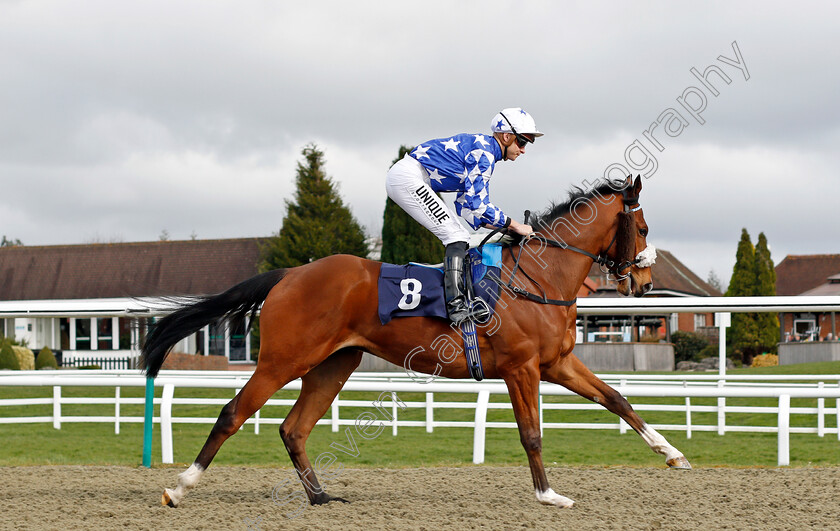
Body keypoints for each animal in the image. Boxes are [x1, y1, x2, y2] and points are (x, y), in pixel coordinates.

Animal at [139, 175, 688, 512]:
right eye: (641, 227)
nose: (644, 284)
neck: (540, 276)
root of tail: (290, 274)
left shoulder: (558, 364)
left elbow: (617, 399)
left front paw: (672, 455)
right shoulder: (521, 368)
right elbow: (532, 434)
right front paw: (549, 495)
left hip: (334, 363)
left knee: (293, 428)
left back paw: (320, 497)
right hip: (283, 359)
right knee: (233, 413)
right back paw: (179, 488)